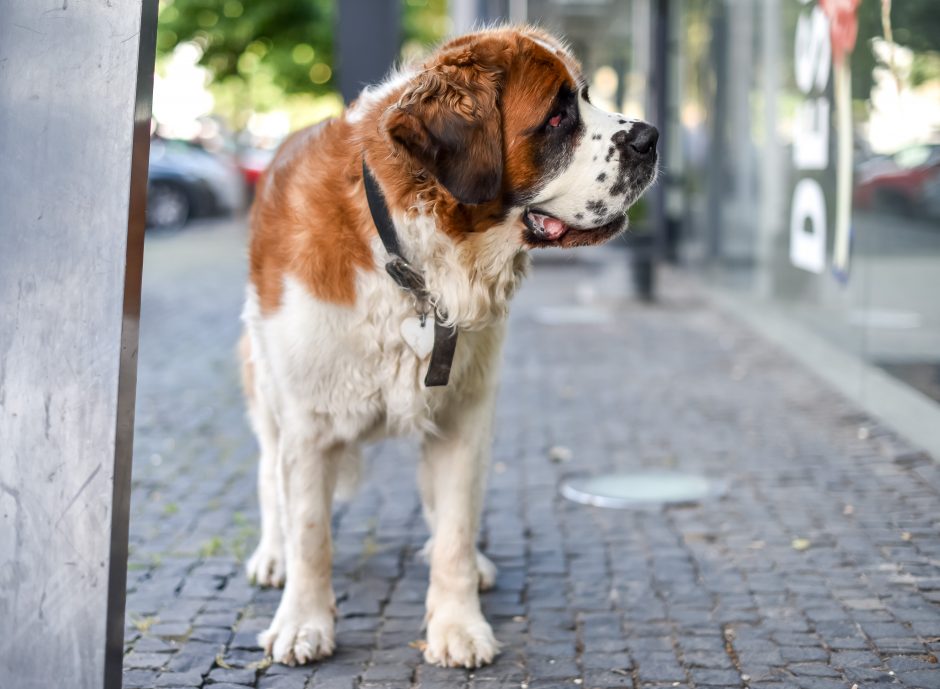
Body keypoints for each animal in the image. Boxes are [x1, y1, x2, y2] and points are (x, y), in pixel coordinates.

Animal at [239, 25, 656, 668]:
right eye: (557, 117)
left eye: (586, 97)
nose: (651, 138)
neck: (410, 257)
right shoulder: (308, 422)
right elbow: (310, 530)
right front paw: (303, 622)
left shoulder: (465, 413)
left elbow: (456, 527)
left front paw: (458, 624)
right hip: (265, 385)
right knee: (268, 472)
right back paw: (272, 554)